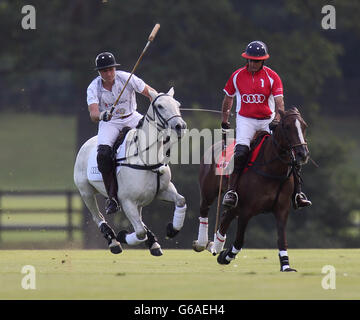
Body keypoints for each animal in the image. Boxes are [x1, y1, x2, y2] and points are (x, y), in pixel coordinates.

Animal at [72, 87, 186, 255]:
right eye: (160, 106)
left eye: (178, 104)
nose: (180, 126)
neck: (146, 159)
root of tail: (86, 143)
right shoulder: (127, 201)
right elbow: (140, 232)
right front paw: (122, 236)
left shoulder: (162, 191)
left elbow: (181, 200)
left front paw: (172, 229)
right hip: (85, 192)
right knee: (97, 216)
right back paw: (113, 241)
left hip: (138, 201)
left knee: (139, 220)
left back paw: (153, 243)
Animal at [194, 108, 310, 272]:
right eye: (287, 127)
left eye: (304, 126)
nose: (303, 154)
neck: (272, 169)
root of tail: (217, 144)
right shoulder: (246, 210)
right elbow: (239, 240)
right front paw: (225, 256)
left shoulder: (282, 208)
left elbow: (282, 238)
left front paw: (286, 266)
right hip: (209, 192)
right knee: (205, 209)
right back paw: (203, 243)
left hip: (235, 204)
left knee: (226, 216)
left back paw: (215, 245)